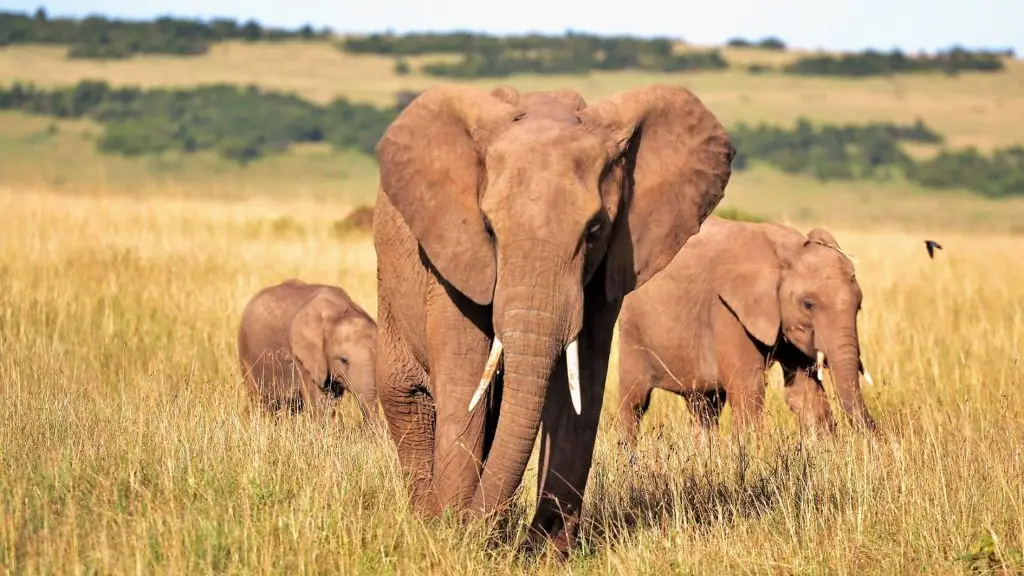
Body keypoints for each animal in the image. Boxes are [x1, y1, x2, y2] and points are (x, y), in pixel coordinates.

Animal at [237, 278, 382, 422]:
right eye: (343, 360)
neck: (338, 313)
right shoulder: (304, 359)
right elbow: (319, 400)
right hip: (245, 352)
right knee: (259, 400)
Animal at [372, 81, 733, 553]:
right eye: (489, 229)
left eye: (594, 230)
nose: (472, 528)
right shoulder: (451, 258)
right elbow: (466, 379)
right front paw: (451, 535)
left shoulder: (608, 269)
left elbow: (580, 389)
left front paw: (545, 552)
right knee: (408, 398)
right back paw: (427, 521)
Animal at [614, 213, 880, 440]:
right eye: (808, 304)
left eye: (859, 306)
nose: (876, 433)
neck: (787, 251)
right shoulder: (726, 310)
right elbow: (749, 391)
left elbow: (804, 394)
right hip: (632, 329)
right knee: (634, 403)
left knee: (704, 407)